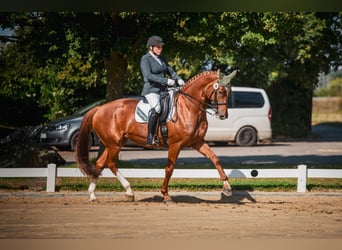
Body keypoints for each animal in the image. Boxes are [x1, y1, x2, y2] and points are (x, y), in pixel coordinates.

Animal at [75, 69, 235, 202]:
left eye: (229, 92)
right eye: (221, 91)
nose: (223, 115)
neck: (189, 107)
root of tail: (99, 108)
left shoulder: (197, 142)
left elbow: (215, 158)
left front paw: (227, 187)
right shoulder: (175, 144)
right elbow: (169, 169)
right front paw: (165, 195)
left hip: (115, 143)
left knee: (100, 163)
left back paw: (93, 195)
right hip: (113, 144)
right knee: (111, 164)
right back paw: (129, 191)